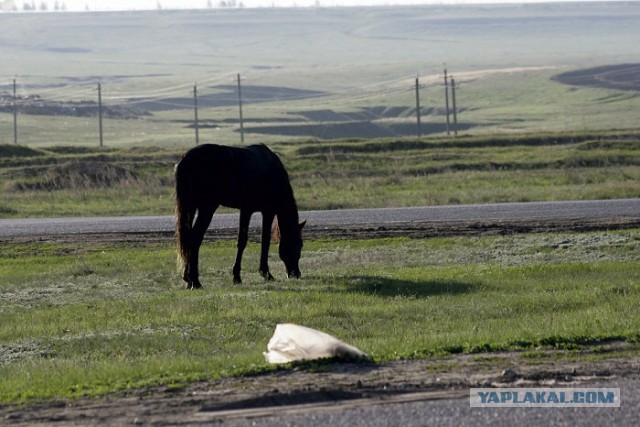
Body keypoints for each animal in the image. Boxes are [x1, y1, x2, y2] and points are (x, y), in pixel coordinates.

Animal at [175, 145, 304, 290]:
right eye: (299, 245)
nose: (296, 274)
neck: (273, 171)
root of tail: (186, 159)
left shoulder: (246, 210)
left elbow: (243, 240)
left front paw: (238, 275)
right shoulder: (266, 211)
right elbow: (261, 240)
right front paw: (264, 274)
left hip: (191, 206)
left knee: (187, 239)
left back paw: (188, 279)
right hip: (207, 208)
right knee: (195, 238)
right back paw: (195, 281)